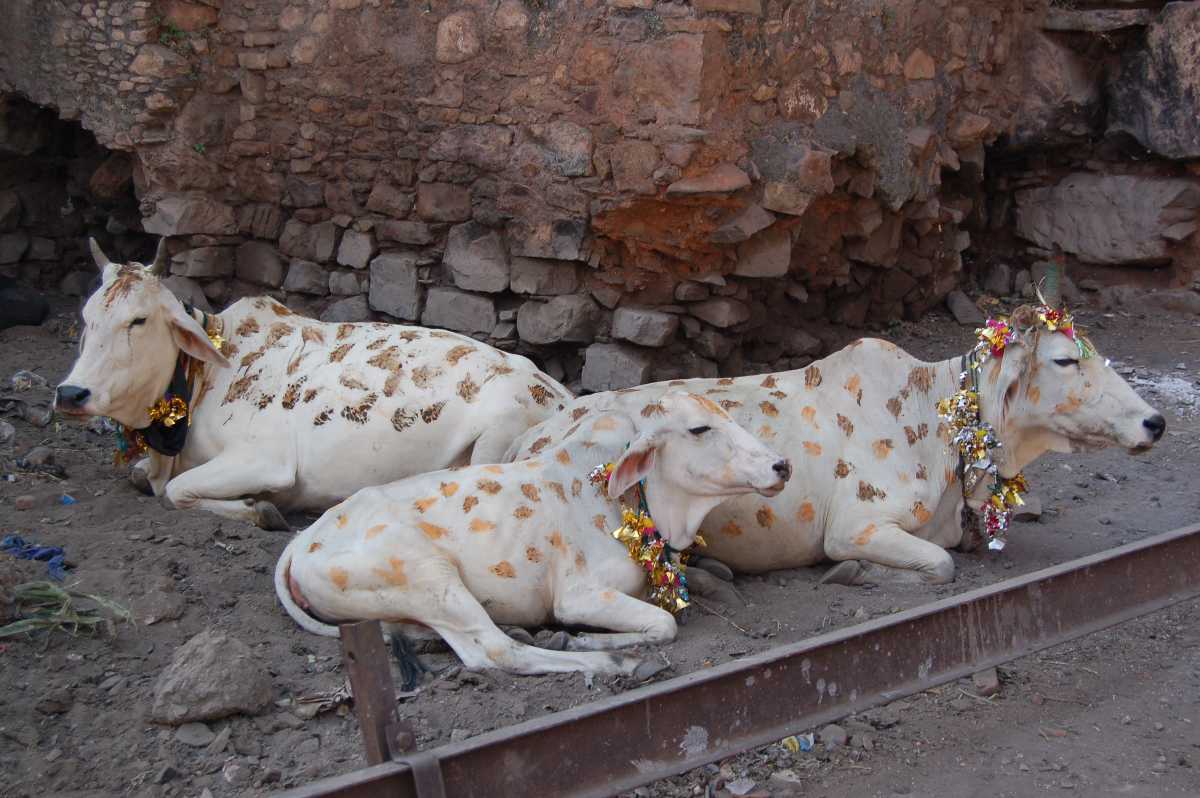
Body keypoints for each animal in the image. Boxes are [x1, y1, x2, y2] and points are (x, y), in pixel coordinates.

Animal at [274, 388, 792, 676]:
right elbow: (663, 625)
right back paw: (609, 663)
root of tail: (302, 543)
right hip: (430, 577)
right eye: (699, 429)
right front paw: (583, 640)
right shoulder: (578, 595)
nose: (781, 465)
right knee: (496, 652)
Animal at [506, 304, 1161, 585]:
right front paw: (857, 573)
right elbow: (940, 564)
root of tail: (529, 437)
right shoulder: (857, 526)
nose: (1155, 422)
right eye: (1065, 359)